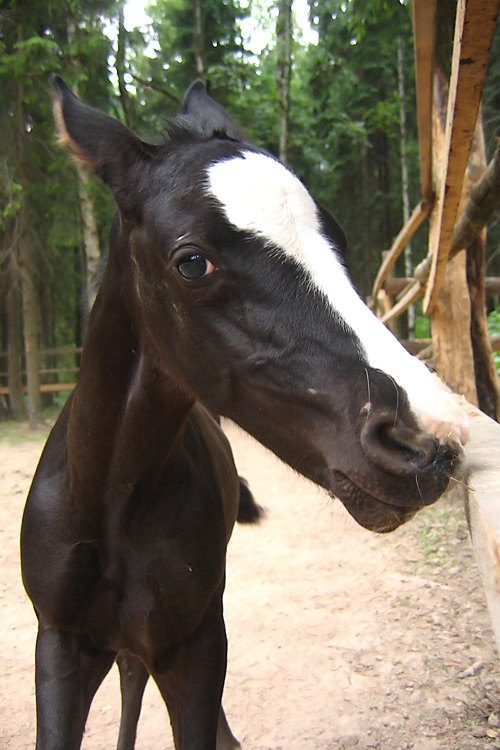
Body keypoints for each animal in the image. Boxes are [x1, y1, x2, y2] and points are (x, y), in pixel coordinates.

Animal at [21, 78, 466, 750]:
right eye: (191, 262)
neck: (111, 504)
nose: (429, 441)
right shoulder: (60, 645)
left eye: (335, 239)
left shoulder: (195, 642)